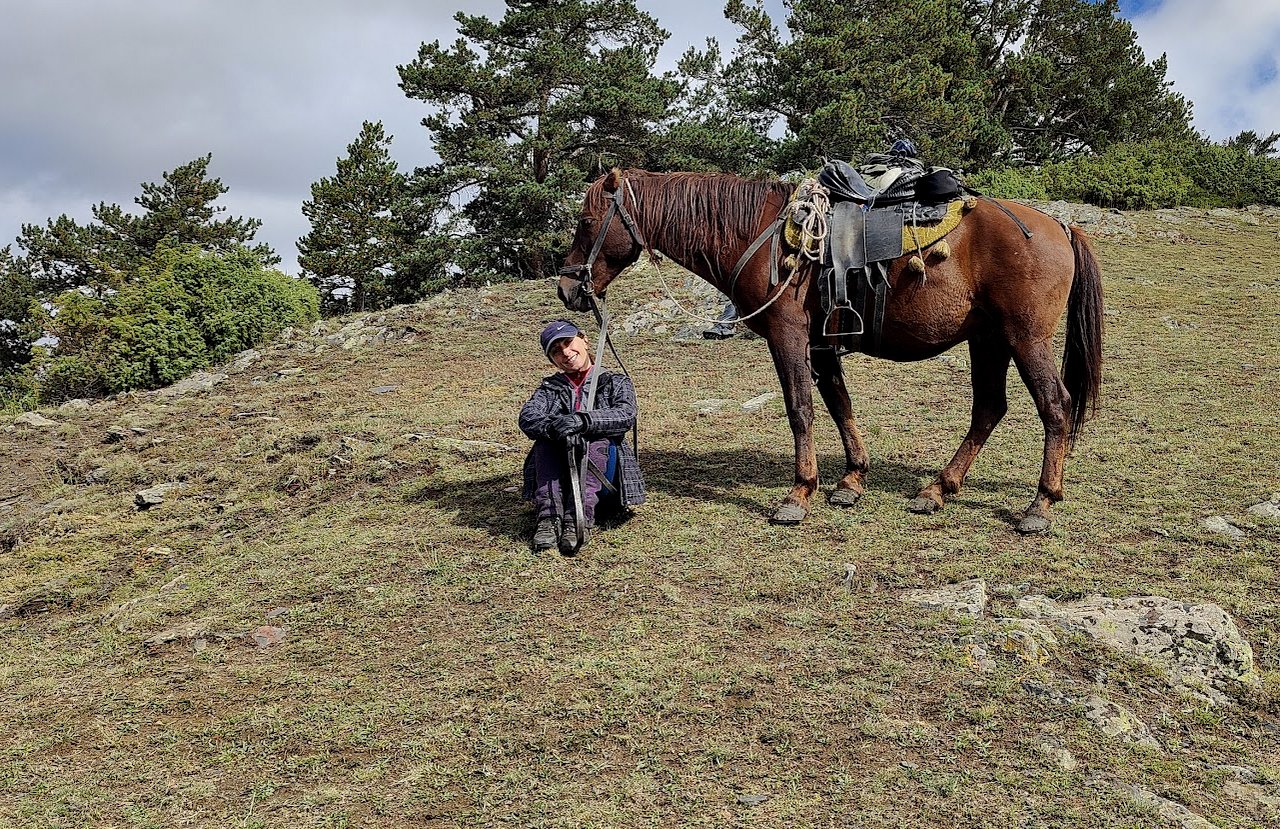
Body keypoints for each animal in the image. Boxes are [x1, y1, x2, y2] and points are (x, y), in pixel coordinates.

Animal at [558, 168, 1100, 534]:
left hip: (1024, 339)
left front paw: (800, 493)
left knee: (1055, 407)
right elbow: (840, 404)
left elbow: (801, 409)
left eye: (585, 221)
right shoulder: (821, 345)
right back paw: (937, 489)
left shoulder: (788, 336)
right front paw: (852, 480)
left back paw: (1041, 502)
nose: (567, 288)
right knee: (988, 409)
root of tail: (1059, 227)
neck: (761, 236)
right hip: (988, 341)